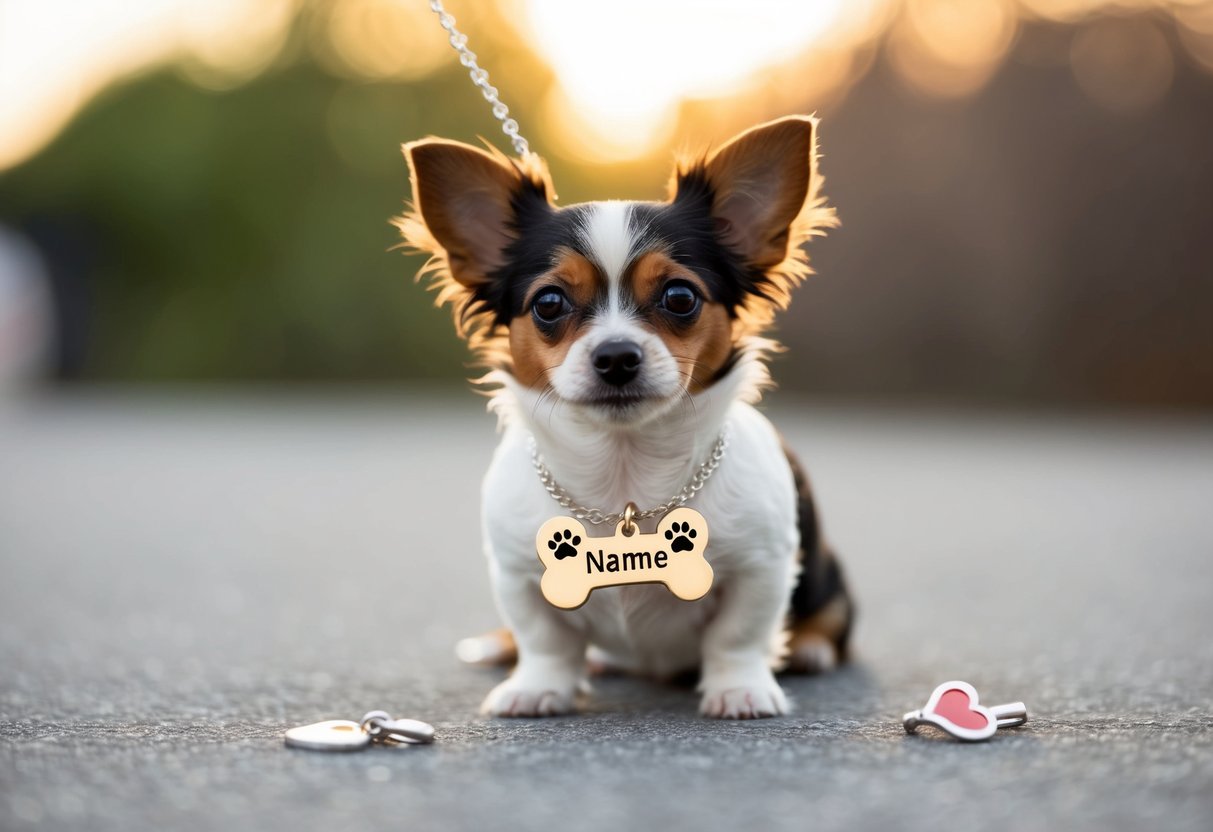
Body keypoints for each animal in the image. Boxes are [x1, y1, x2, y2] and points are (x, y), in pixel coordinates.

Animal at [397, 114, 853, 717]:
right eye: (548, 304)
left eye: (680, 297)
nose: (616, 356)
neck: (625, 472)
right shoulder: (518, 573)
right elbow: (545, 638)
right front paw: (538, 686)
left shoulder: (764, 565)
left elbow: (739, 635)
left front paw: (740, 688)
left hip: (828, 572)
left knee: (829, 619)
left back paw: (809, 649)